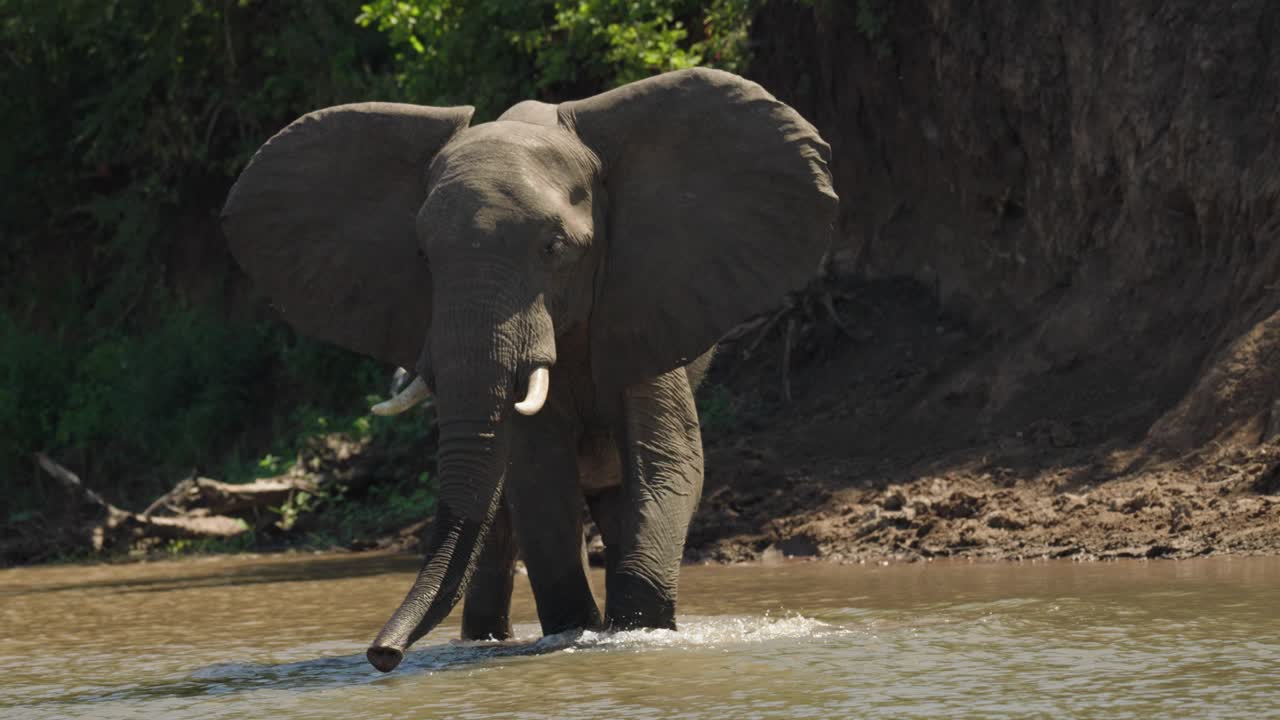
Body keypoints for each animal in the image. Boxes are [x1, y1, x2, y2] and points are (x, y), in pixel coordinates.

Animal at [221, 68, 837, 672]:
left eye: (554, 247)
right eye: (422, 256)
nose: (382, 655)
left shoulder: (645, 301)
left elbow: (668, 460)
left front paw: (635, 635)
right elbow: (539, 474)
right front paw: (575, 632)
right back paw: (486, 640)